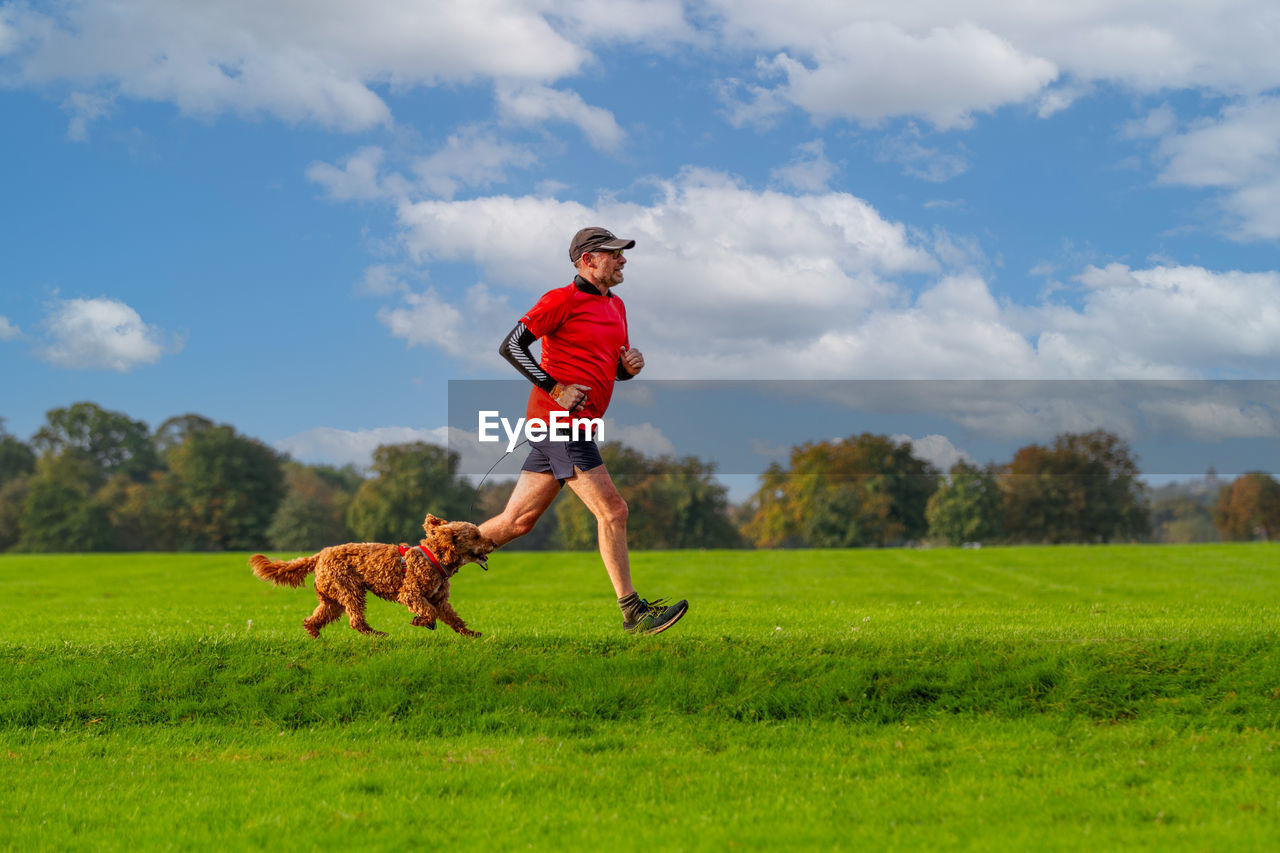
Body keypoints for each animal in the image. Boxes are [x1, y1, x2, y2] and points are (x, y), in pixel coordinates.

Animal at [249, 512, 494, 637]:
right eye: (475, 535)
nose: (493, 542)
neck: (435, 557)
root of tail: (320, 554)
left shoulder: (440, 600)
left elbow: (453, 618)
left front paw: (470, 633)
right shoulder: (410, 594)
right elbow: (429, 612)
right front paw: (420, 621)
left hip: (333, 599)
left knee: (315, 619)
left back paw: (316, 635)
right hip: (350, 590)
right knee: (355, 621)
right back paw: (376, 634)